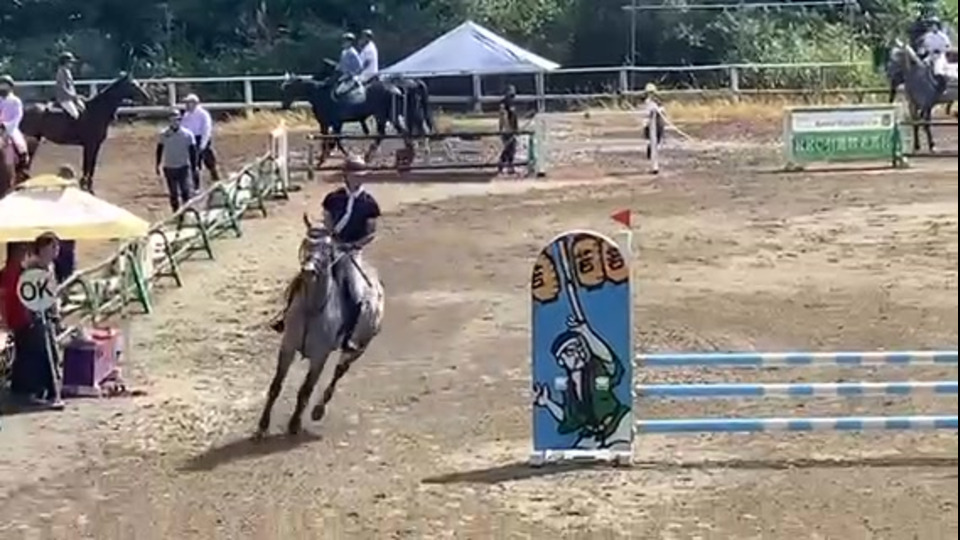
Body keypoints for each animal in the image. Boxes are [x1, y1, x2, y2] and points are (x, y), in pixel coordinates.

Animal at [20, 72, 151, 193]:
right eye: (133, 85)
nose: (147, 97)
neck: (97, 110)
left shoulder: (91, 145)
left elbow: (88, 165)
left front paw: (84, 186)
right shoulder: (91, 145)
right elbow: (89, 165)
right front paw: (88, 188)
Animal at [256, 216, 384, 437]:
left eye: (326, 248)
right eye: (305, 243)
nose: (308, 271)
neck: (312, 307)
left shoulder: (319, 356)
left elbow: (305, 390)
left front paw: (294, 424)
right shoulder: (287, 347)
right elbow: (276, 386)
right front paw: (262, 426)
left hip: (358, 349)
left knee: (338, 373)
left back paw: (318, 411)